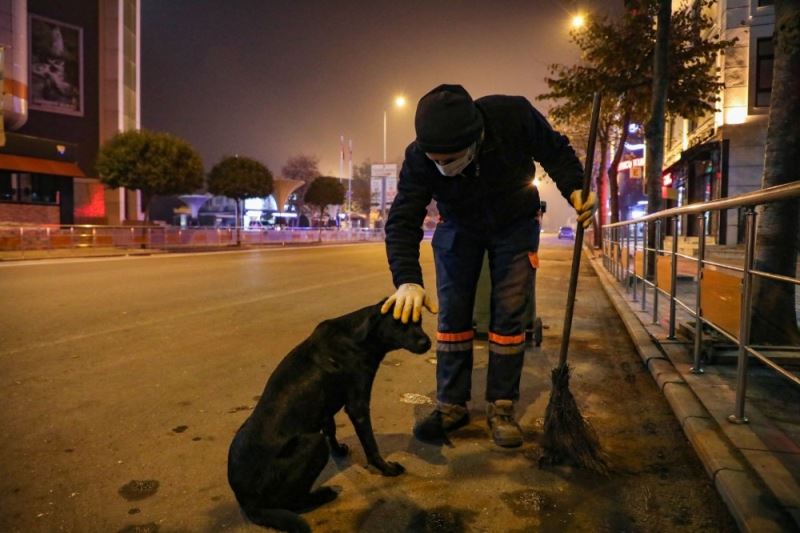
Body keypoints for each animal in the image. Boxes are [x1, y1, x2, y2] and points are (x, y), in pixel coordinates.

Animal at [225, 302, 432, 528]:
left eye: (419, 319)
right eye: (399, 323)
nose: (427, 342)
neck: (358, 337)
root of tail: (246, 503)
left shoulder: (325, 408)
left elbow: (331, 429)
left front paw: (339, 450)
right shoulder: (358, 406)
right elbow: (370, 444)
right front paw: (385, 468)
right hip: (314, 444)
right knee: (294, 502)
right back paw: (322, 495)